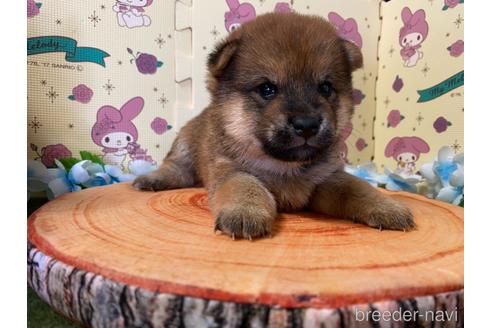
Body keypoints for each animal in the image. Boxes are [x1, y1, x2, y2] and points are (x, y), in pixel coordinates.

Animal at [132, 12, 416, 238]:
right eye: (267, 89)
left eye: (325, 88)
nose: (307, 124)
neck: (284, 168)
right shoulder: (232, 170)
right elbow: (245, 187)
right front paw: (245, 211)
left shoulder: (327, 180)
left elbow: (358, 188)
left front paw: (386, 206)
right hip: (184, 145)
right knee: (177, 168)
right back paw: (153, 178)